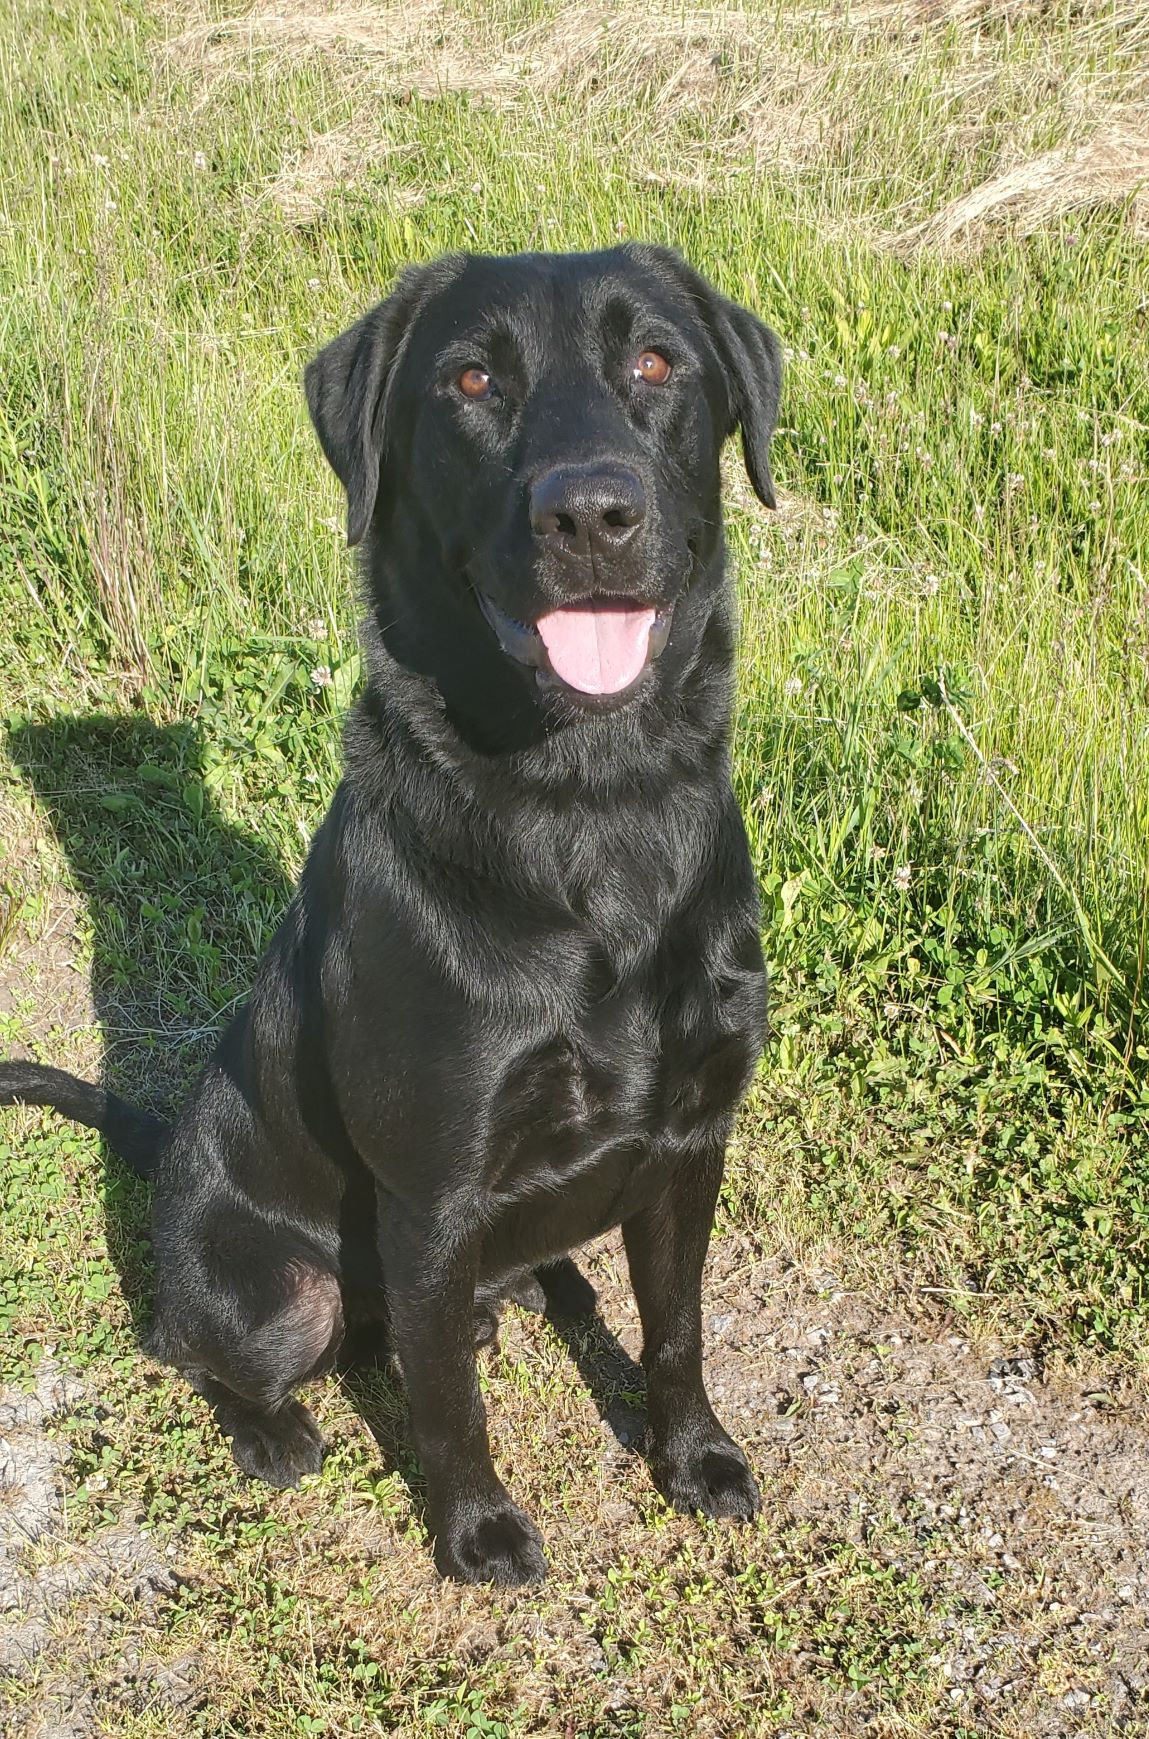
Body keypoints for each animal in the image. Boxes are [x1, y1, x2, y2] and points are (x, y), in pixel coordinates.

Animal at [0, 248, 778, 1592]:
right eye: (469, 380)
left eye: (656, 362)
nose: (591, 514)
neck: (592, 809)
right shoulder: (431, 1192)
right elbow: (448, 1400)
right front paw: (477, 1530)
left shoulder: (690, 1144)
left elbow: (677, 1328)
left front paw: (695, 1456)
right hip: (275, 1293)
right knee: (197, 1345)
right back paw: (275, 1428)